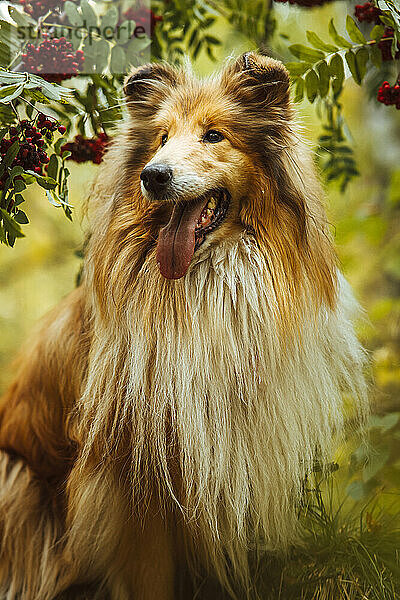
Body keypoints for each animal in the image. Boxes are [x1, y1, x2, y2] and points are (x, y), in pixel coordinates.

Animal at [0, 52, 366, 600]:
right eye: (161, 139)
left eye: (214, 135)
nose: (154, 176)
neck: (203, 287)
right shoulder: (133, 478)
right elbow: (149, 575)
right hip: (19, 483)